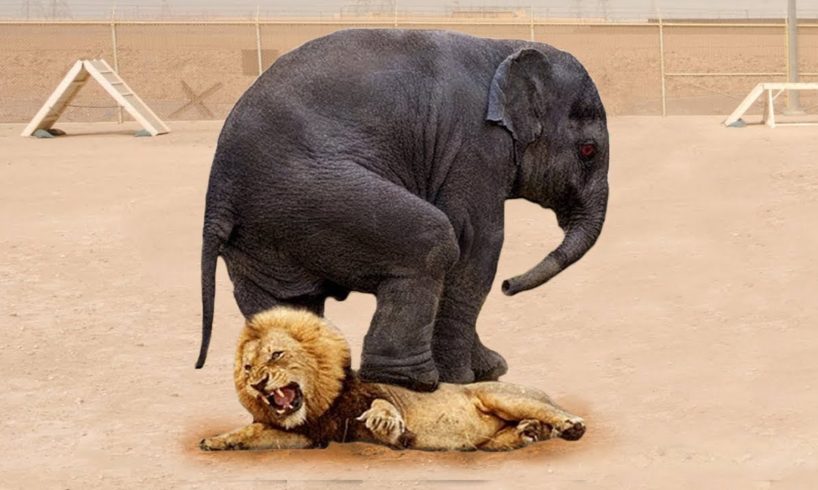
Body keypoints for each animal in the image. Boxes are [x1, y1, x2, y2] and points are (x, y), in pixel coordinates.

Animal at [200, 307, 586, 451]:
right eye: (247, 368)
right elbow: (253, 432)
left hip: (503, 396)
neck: (319, 402)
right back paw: (529, 432)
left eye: (276, 355)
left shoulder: (378, 390)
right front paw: (219, 441)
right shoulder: (313, 434)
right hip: (490, 439)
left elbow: (381, 401)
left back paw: (569, 425)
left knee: (551, 412)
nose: (256, 384)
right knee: (513, 435)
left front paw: (386, 424)